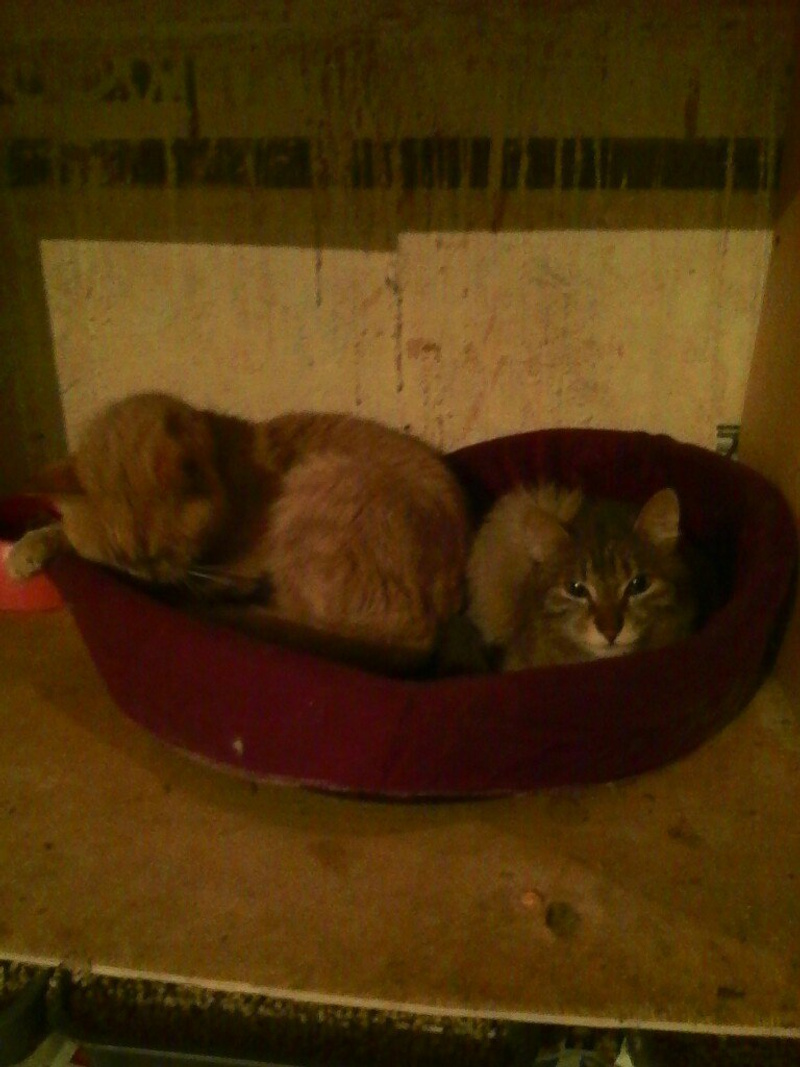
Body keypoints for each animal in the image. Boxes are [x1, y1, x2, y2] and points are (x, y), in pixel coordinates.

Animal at [6, 392, 471, 673]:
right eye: (121, 563)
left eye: (164, 552)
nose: (145, 582)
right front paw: (28, 547)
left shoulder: (236, 569)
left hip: (317, 488)